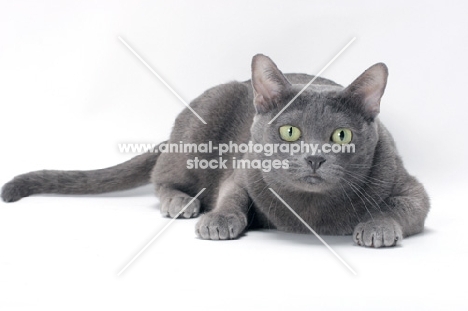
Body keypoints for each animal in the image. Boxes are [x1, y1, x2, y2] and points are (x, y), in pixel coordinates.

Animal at [0, 54, 432, 249]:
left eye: (341, 136)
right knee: (161, 177)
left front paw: (376, 227)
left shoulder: (410, 187)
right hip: (198, 129)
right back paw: (182, 203)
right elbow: (231, 194)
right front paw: (219, 220)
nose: (313, 157)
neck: (309, 208)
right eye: (290, 132)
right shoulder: (244, 169)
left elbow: (404, 206)